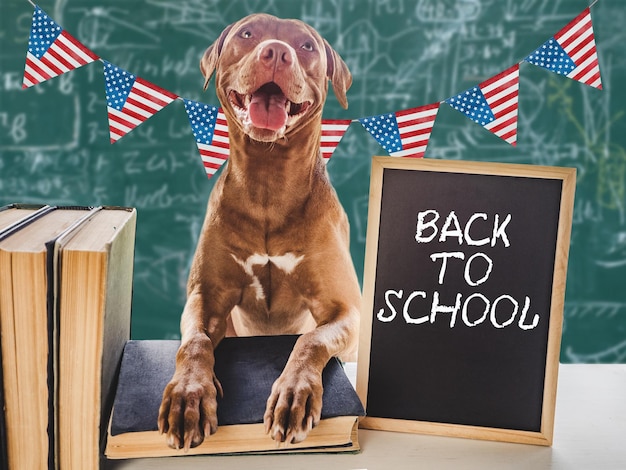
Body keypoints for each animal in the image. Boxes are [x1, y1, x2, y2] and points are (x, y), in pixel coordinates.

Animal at [156, 12, 358, 450]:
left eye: (306, 46)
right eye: (248, 34)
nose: (277, 52)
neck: (269, 181)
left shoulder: (345, 308)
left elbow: (309, 340)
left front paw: (294, 393)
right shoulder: (206, 296)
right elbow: (194, 343)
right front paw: (188, 394)